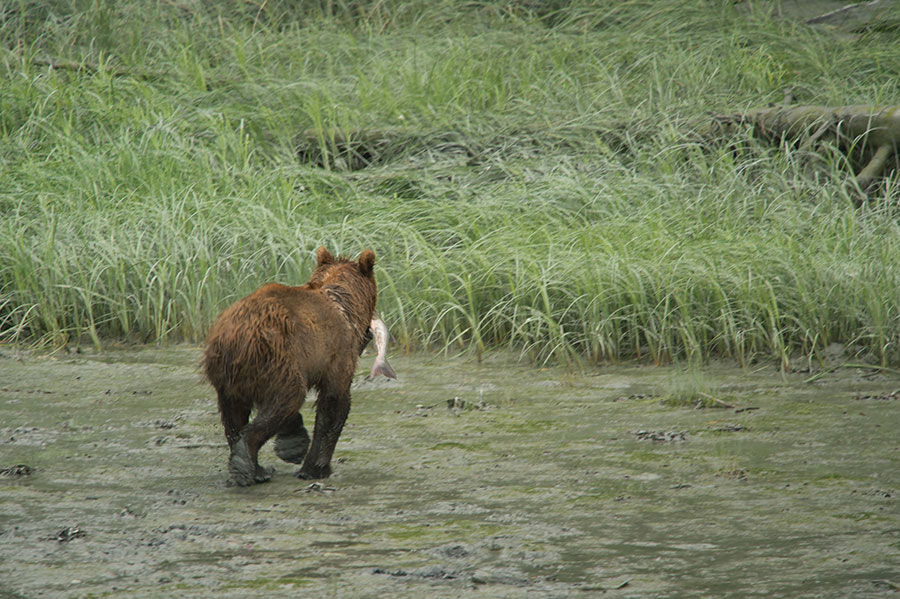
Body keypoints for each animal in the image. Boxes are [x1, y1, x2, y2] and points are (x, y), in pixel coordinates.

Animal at [204, 248, 376, 488]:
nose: (369, 334)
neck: (345, 304)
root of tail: (232, 336)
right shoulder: (337, 352)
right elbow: (334, 402)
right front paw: (316, 467)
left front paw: (293, 444)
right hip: (274, 354)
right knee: (289, 396)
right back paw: (246, 464)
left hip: (229, 377)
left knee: (234, 415)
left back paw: (256, 467)